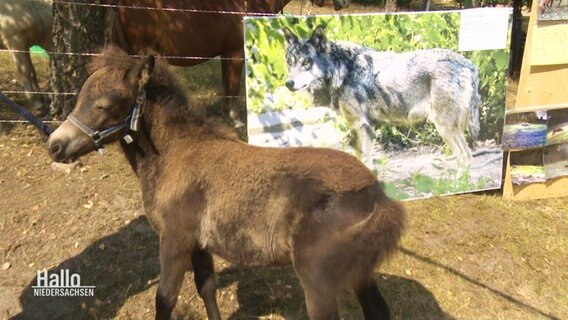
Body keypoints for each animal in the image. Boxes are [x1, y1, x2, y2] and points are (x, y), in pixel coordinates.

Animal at [46, 47, 406, 320]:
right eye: (80, 97)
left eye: (104, 105)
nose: (55, 145)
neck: (175, 154)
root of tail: (379, 198)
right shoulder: (199, 244)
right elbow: (206, 287)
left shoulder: (174, 240)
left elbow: (165, 300)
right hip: (360, 274)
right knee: (378, 311)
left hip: (318, 279)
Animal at [103, 0, 350, 127]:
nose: (344, 2)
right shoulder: (235, 53)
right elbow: (233, 86)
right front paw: (236, 119)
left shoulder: (226, 55)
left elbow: (226, 85)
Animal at [282, 26, 480, 166]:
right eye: (290, 63)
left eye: (306, 63)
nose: (288, 83)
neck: (342, 69)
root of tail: (469, 64)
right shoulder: (367, 128)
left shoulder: (359, 126)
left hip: (444, 127)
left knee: (465, 156)